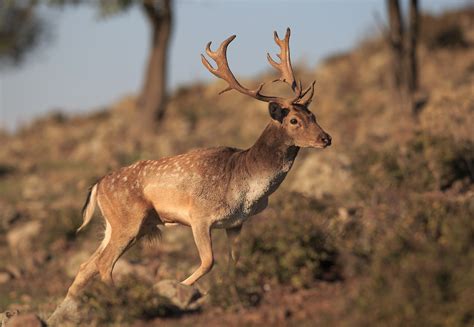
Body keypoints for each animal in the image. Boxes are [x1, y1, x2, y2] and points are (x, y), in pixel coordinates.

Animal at [62, 27, 330, 304]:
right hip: (128, 220)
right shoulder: (199, 216)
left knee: (86, 266)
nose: (326, 138)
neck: (246, 187)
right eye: (294, 120)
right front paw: (182, 287)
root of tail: (97, 185)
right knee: (103, 264)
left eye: (313, 115)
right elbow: (208, 261)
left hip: (121, 225)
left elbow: (235, 261)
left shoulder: (235, 223)